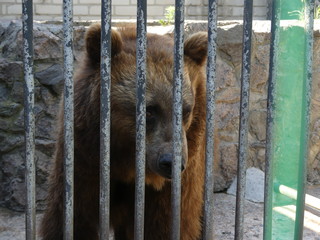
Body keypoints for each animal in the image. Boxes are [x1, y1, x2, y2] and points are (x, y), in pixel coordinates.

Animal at [40, 23, 209, 240]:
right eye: (149, 110)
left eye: (186, 110)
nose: (171, 162)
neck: (126, 166)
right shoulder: (84, 160)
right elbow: (75, 218)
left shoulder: (174, 184)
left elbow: (164, 224)